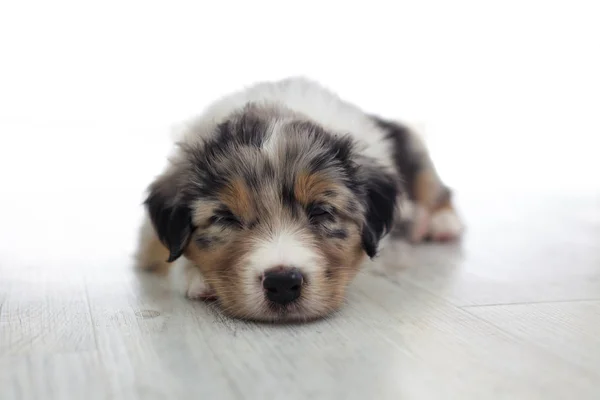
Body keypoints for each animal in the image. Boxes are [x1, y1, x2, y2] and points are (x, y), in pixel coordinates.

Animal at [136, 78, 462, 322]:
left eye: (321, 211)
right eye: (225, 217)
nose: (282, 284)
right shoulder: (148, 241)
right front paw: (197, 275)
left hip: (413, 145)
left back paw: (440, 222)